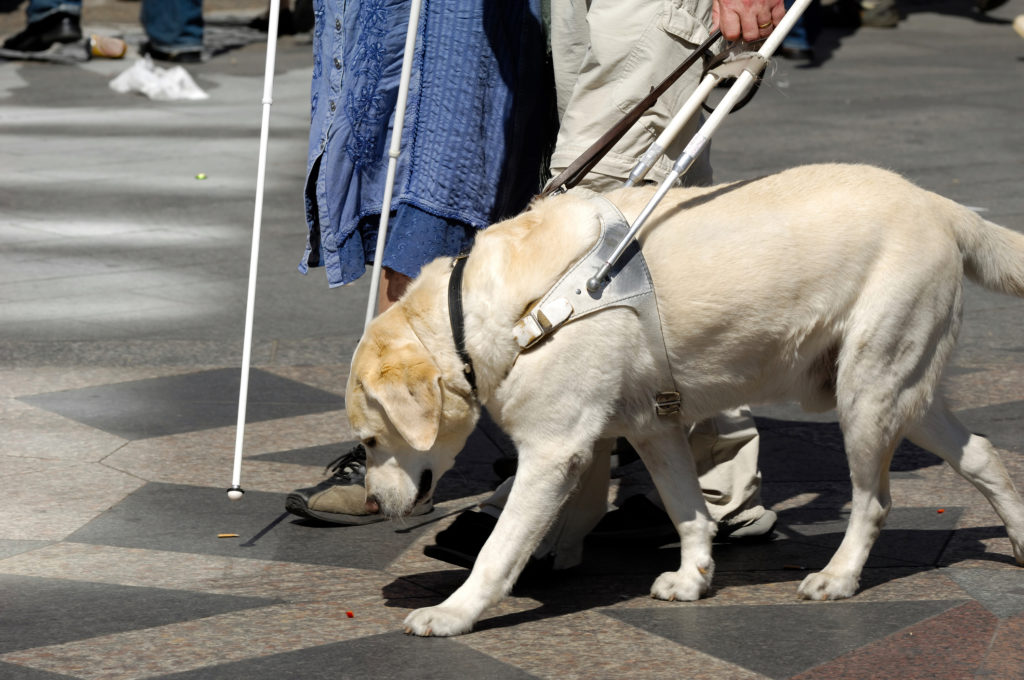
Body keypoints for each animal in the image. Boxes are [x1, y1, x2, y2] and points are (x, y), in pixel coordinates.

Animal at [342, 164, 1024, 639]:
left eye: (373, 441)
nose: (371, 503)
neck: (511, 312)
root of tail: (939, 204)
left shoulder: (553, 452)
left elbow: (497, 551)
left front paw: (453, 613)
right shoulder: (654, 427)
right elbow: (687, 509)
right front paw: (695, 576)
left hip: (868, 393)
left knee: (874, 501)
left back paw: (839, 576)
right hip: (905, 392)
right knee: (984, 452)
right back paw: (1019, 539)